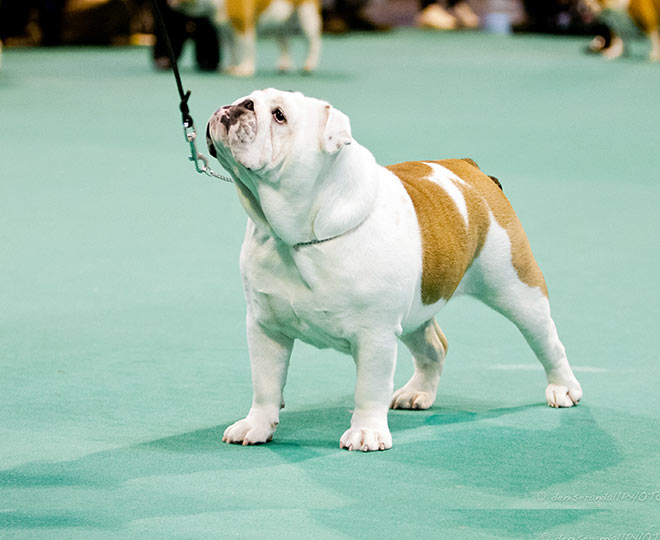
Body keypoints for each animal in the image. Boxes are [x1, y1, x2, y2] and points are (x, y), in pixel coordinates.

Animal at [168, 0, 322, 76]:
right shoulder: (225, 31)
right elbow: (231, 50)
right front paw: (229, 67)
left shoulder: (243, 26)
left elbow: (245, 49)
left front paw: (245, 69)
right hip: (279, 24)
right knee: (285, 43)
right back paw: (283, 66)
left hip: (306, 15)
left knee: (313, 42)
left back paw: (309, 65)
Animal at [205, 89, 583, 452]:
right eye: (246, 98)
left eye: (279, 115)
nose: (239, 105)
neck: (296, 238)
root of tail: (470, 169)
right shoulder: (265, 328)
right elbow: (265, 383)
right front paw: (256, 426)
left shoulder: (375, 335)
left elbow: (369, 388)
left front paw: (366, 433)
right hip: (417, 309)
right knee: (434, 347)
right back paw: (418, 393)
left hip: (516, 288)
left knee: (546, 340)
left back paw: (563, 388)